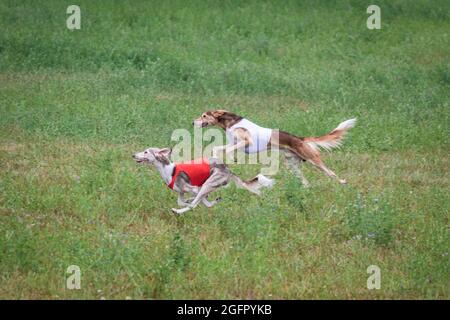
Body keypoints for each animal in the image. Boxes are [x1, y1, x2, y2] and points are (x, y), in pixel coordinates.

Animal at [132, 148, 274, 215]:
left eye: (146, 151)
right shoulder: (183, 192)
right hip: (207, 186)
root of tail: (228, 169)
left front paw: (185, 205)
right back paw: (216, 200)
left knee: (195, 205)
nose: (133, 155)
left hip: (207, 184)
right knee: (208, 204)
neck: (168, 170)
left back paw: (177, 211)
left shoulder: (195, 189)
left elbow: (192, 203)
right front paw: (188, 201)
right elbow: (182, 201)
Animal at [192, 110, 356, 185]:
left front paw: (233, 158)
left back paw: (342, 182)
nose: (193, 122)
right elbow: (218, 148)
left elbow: (230, 150)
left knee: (330, 173)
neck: (230, 123)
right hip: (292, 164)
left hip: (312, 159)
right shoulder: (233, 143)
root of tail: (300, 139)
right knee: (305, 182)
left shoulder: (246, 142)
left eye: (204, 115)